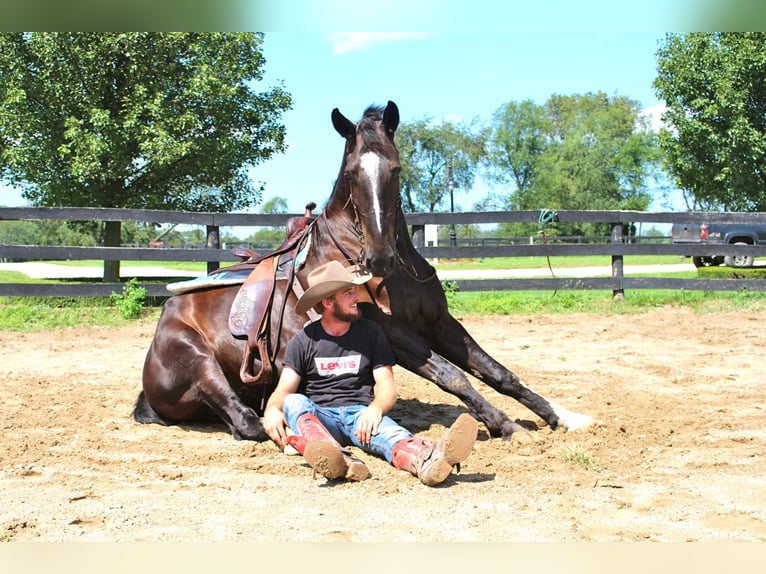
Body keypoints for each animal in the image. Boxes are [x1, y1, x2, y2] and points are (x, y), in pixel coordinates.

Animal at [136, 101, 592, 446]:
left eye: (396, 168)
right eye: (353, 172)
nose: (378, 259)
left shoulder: (440, 322)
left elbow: (497, 372)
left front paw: (562, 416)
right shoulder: (390, 332)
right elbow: (453, 376)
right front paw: (506, 425)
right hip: (198, 361)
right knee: (246, 422)